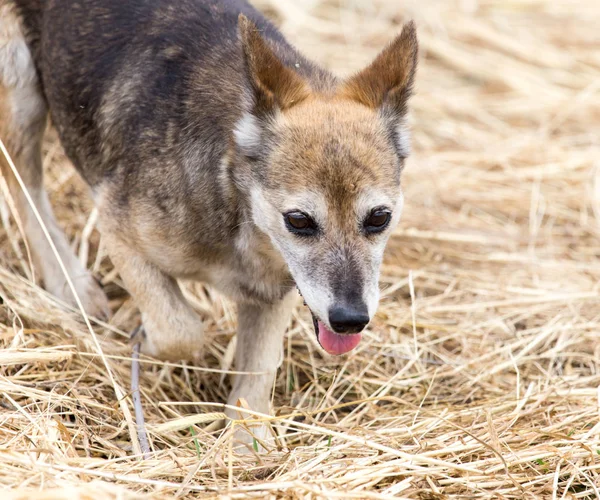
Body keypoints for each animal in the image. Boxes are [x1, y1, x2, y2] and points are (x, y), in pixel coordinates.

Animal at [0, 0, 414, 446]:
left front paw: (246, 445)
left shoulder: (280, 288)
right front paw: (142, 342)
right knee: (24, 186)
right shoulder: (118, 226)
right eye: (299, 220)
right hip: (20, 85)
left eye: (379, 218)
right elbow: (180, 331)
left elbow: (258, 372)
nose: (351, 319)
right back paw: (72, 284)